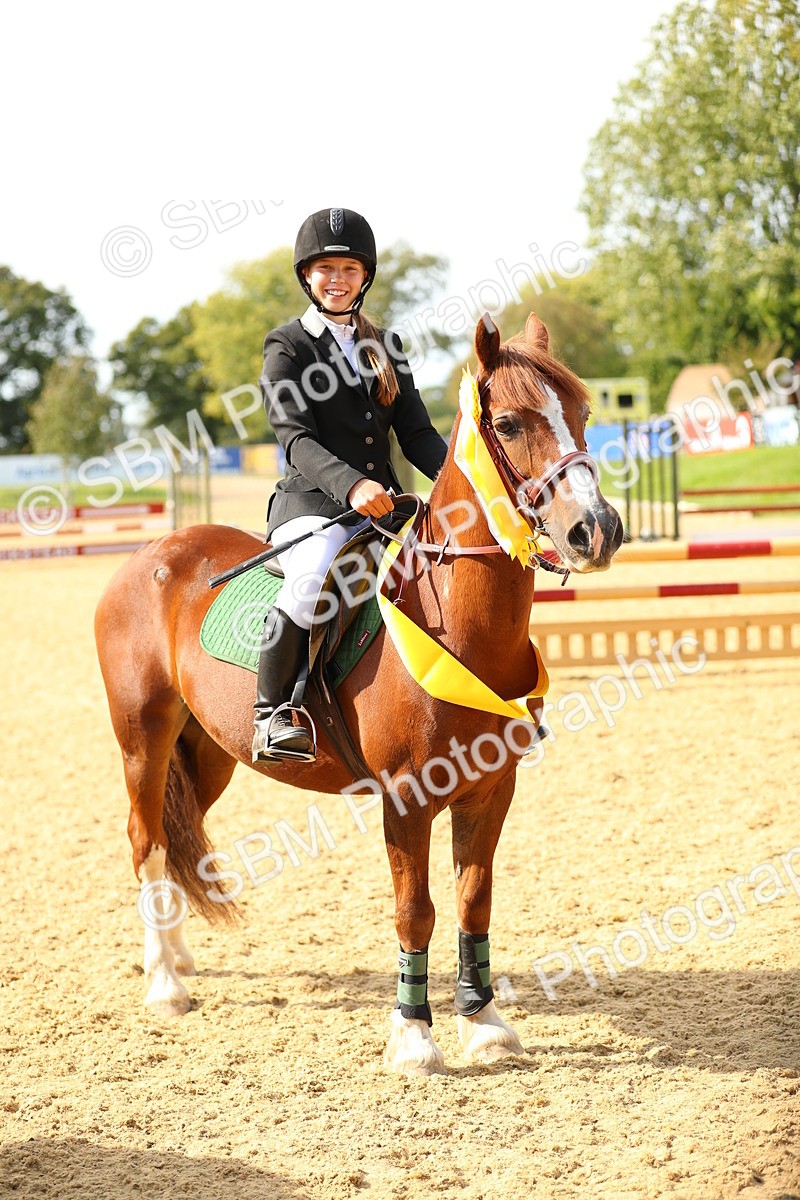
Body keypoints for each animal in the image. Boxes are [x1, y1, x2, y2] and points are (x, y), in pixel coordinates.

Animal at [95, 312, 623, 1076]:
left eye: (583, 413)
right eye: (510, 423)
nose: (596, 531)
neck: (456, 621)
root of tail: (152, 554)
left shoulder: (492, 789)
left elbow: (474, 901)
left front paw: (485, 1023)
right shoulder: (407, 796)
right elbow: (416, 909)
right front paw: (415, 1037)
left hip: (210, 753)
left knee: (172, 832)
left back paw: (178, 955)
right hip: (144, 737)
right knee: (145, 841)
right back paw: (164, 982)